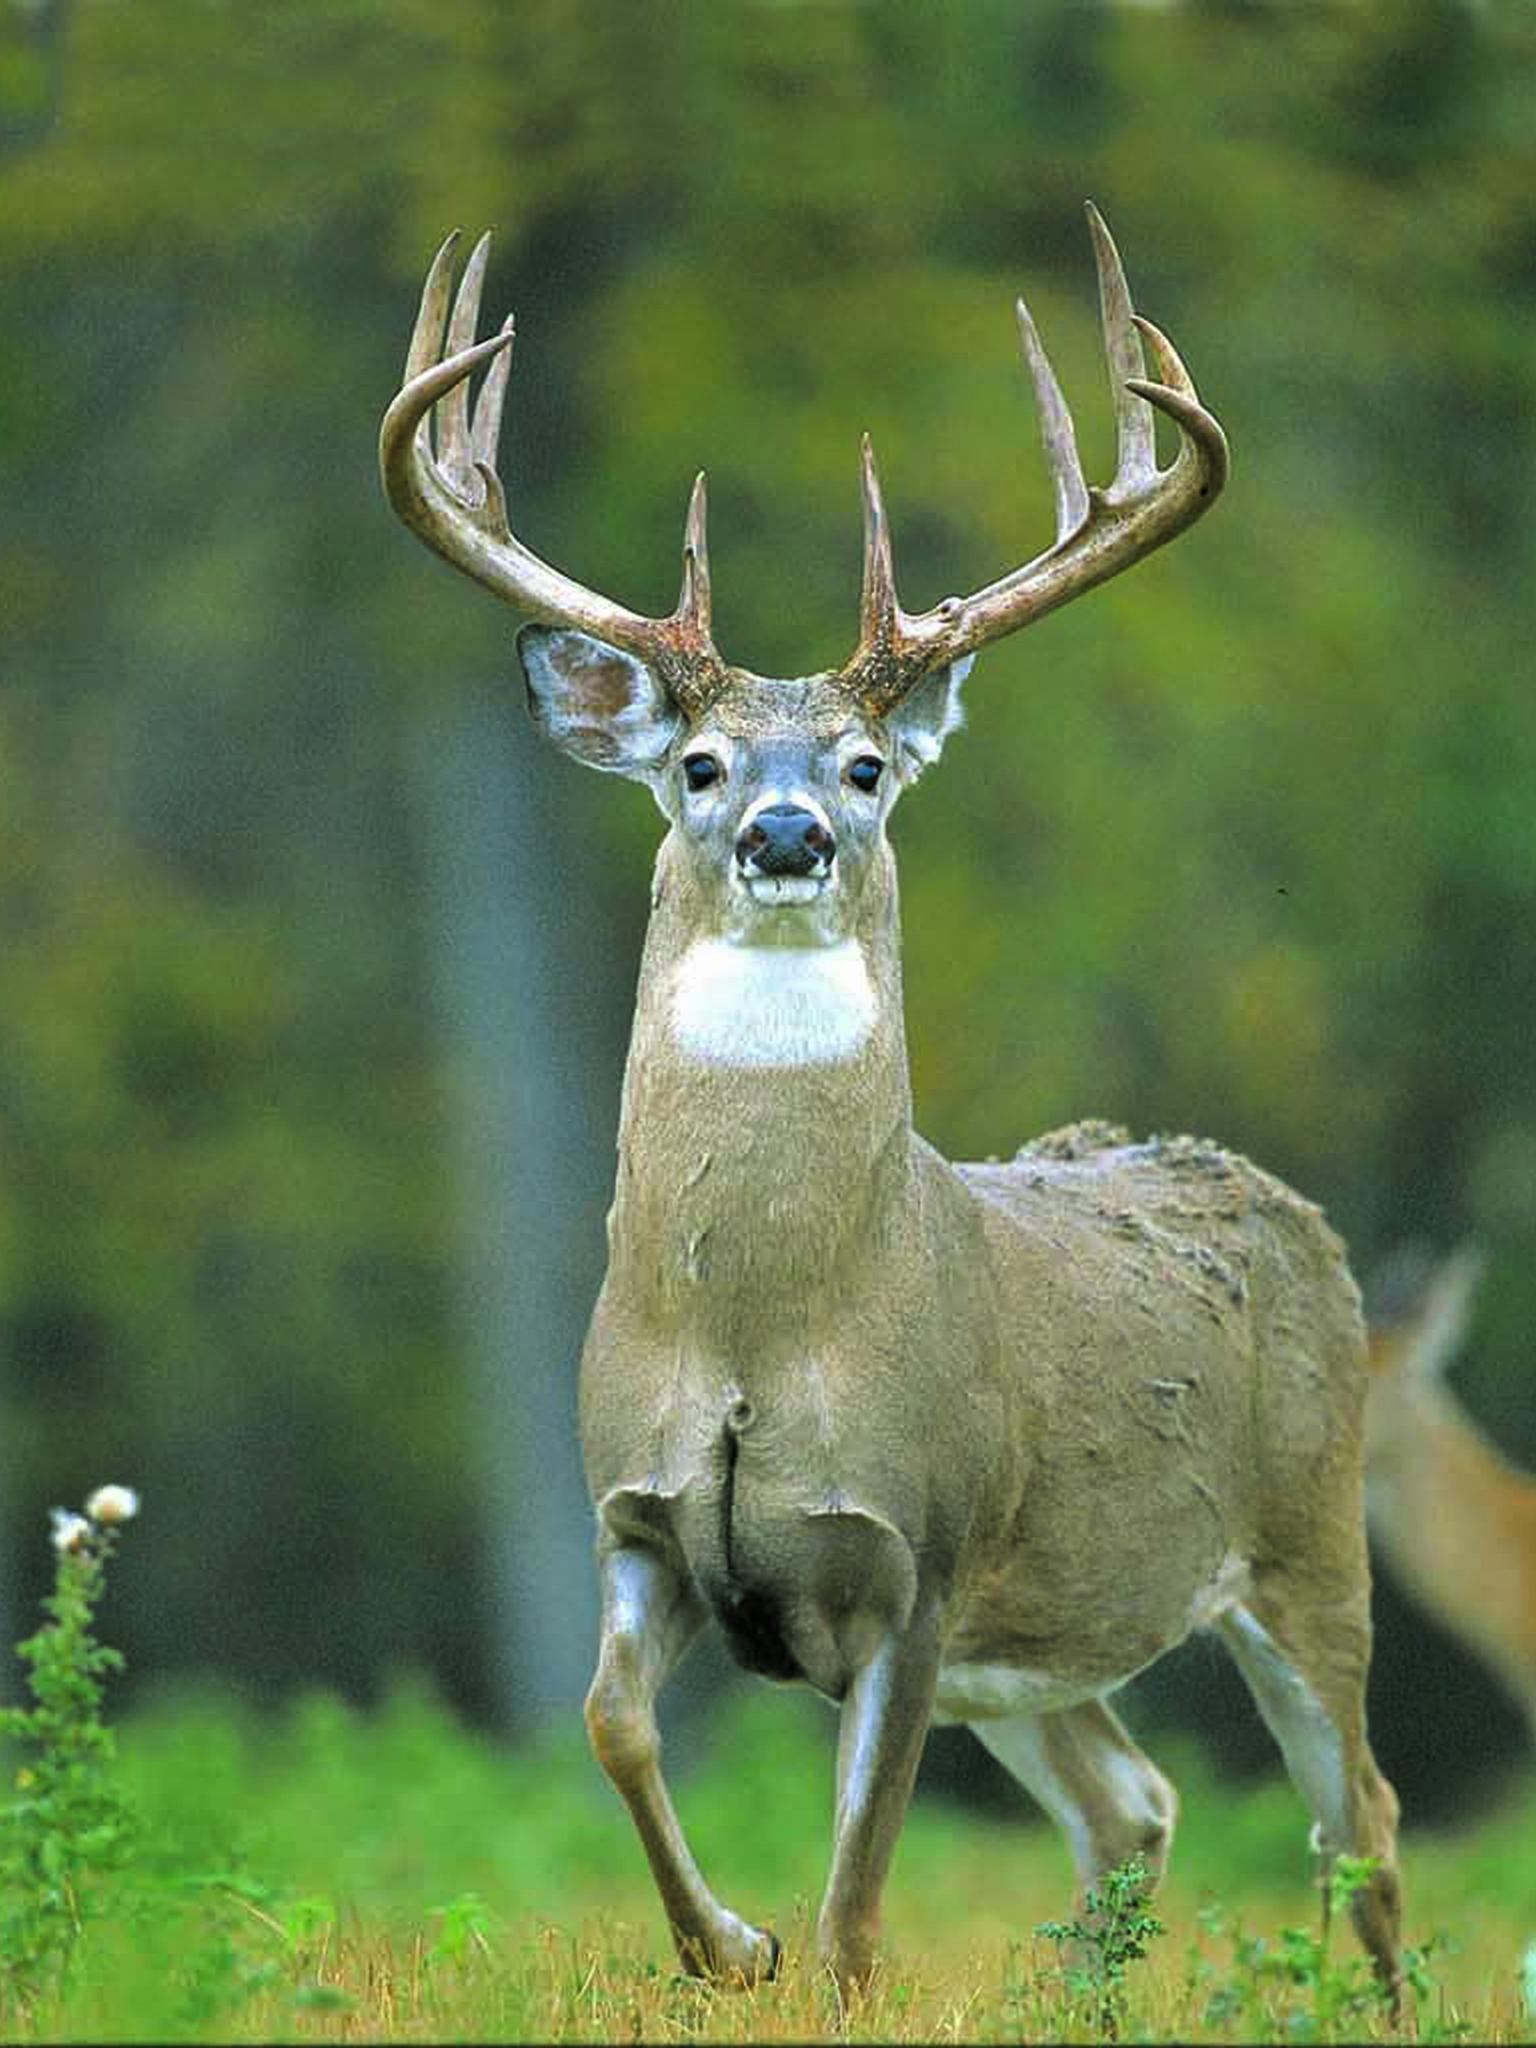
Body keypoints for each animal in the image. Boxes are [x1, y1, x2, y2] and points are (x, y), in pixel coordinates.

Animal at [379, 204, 1402, 2002]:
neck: (758, 1329)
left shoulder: (921, 1552)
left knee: (1365, 1820)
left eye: (865, 768)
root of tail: (1280, 1202)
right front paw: (727, 1941)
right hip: (1045, 1645)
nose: (788, 832)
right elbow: (608, 1723)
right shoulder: (631, 1513)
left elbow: (862, 1901)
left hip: (1305, 1537)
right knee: (1137, 1802)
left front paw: (794, 1950)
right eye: (699, 764)